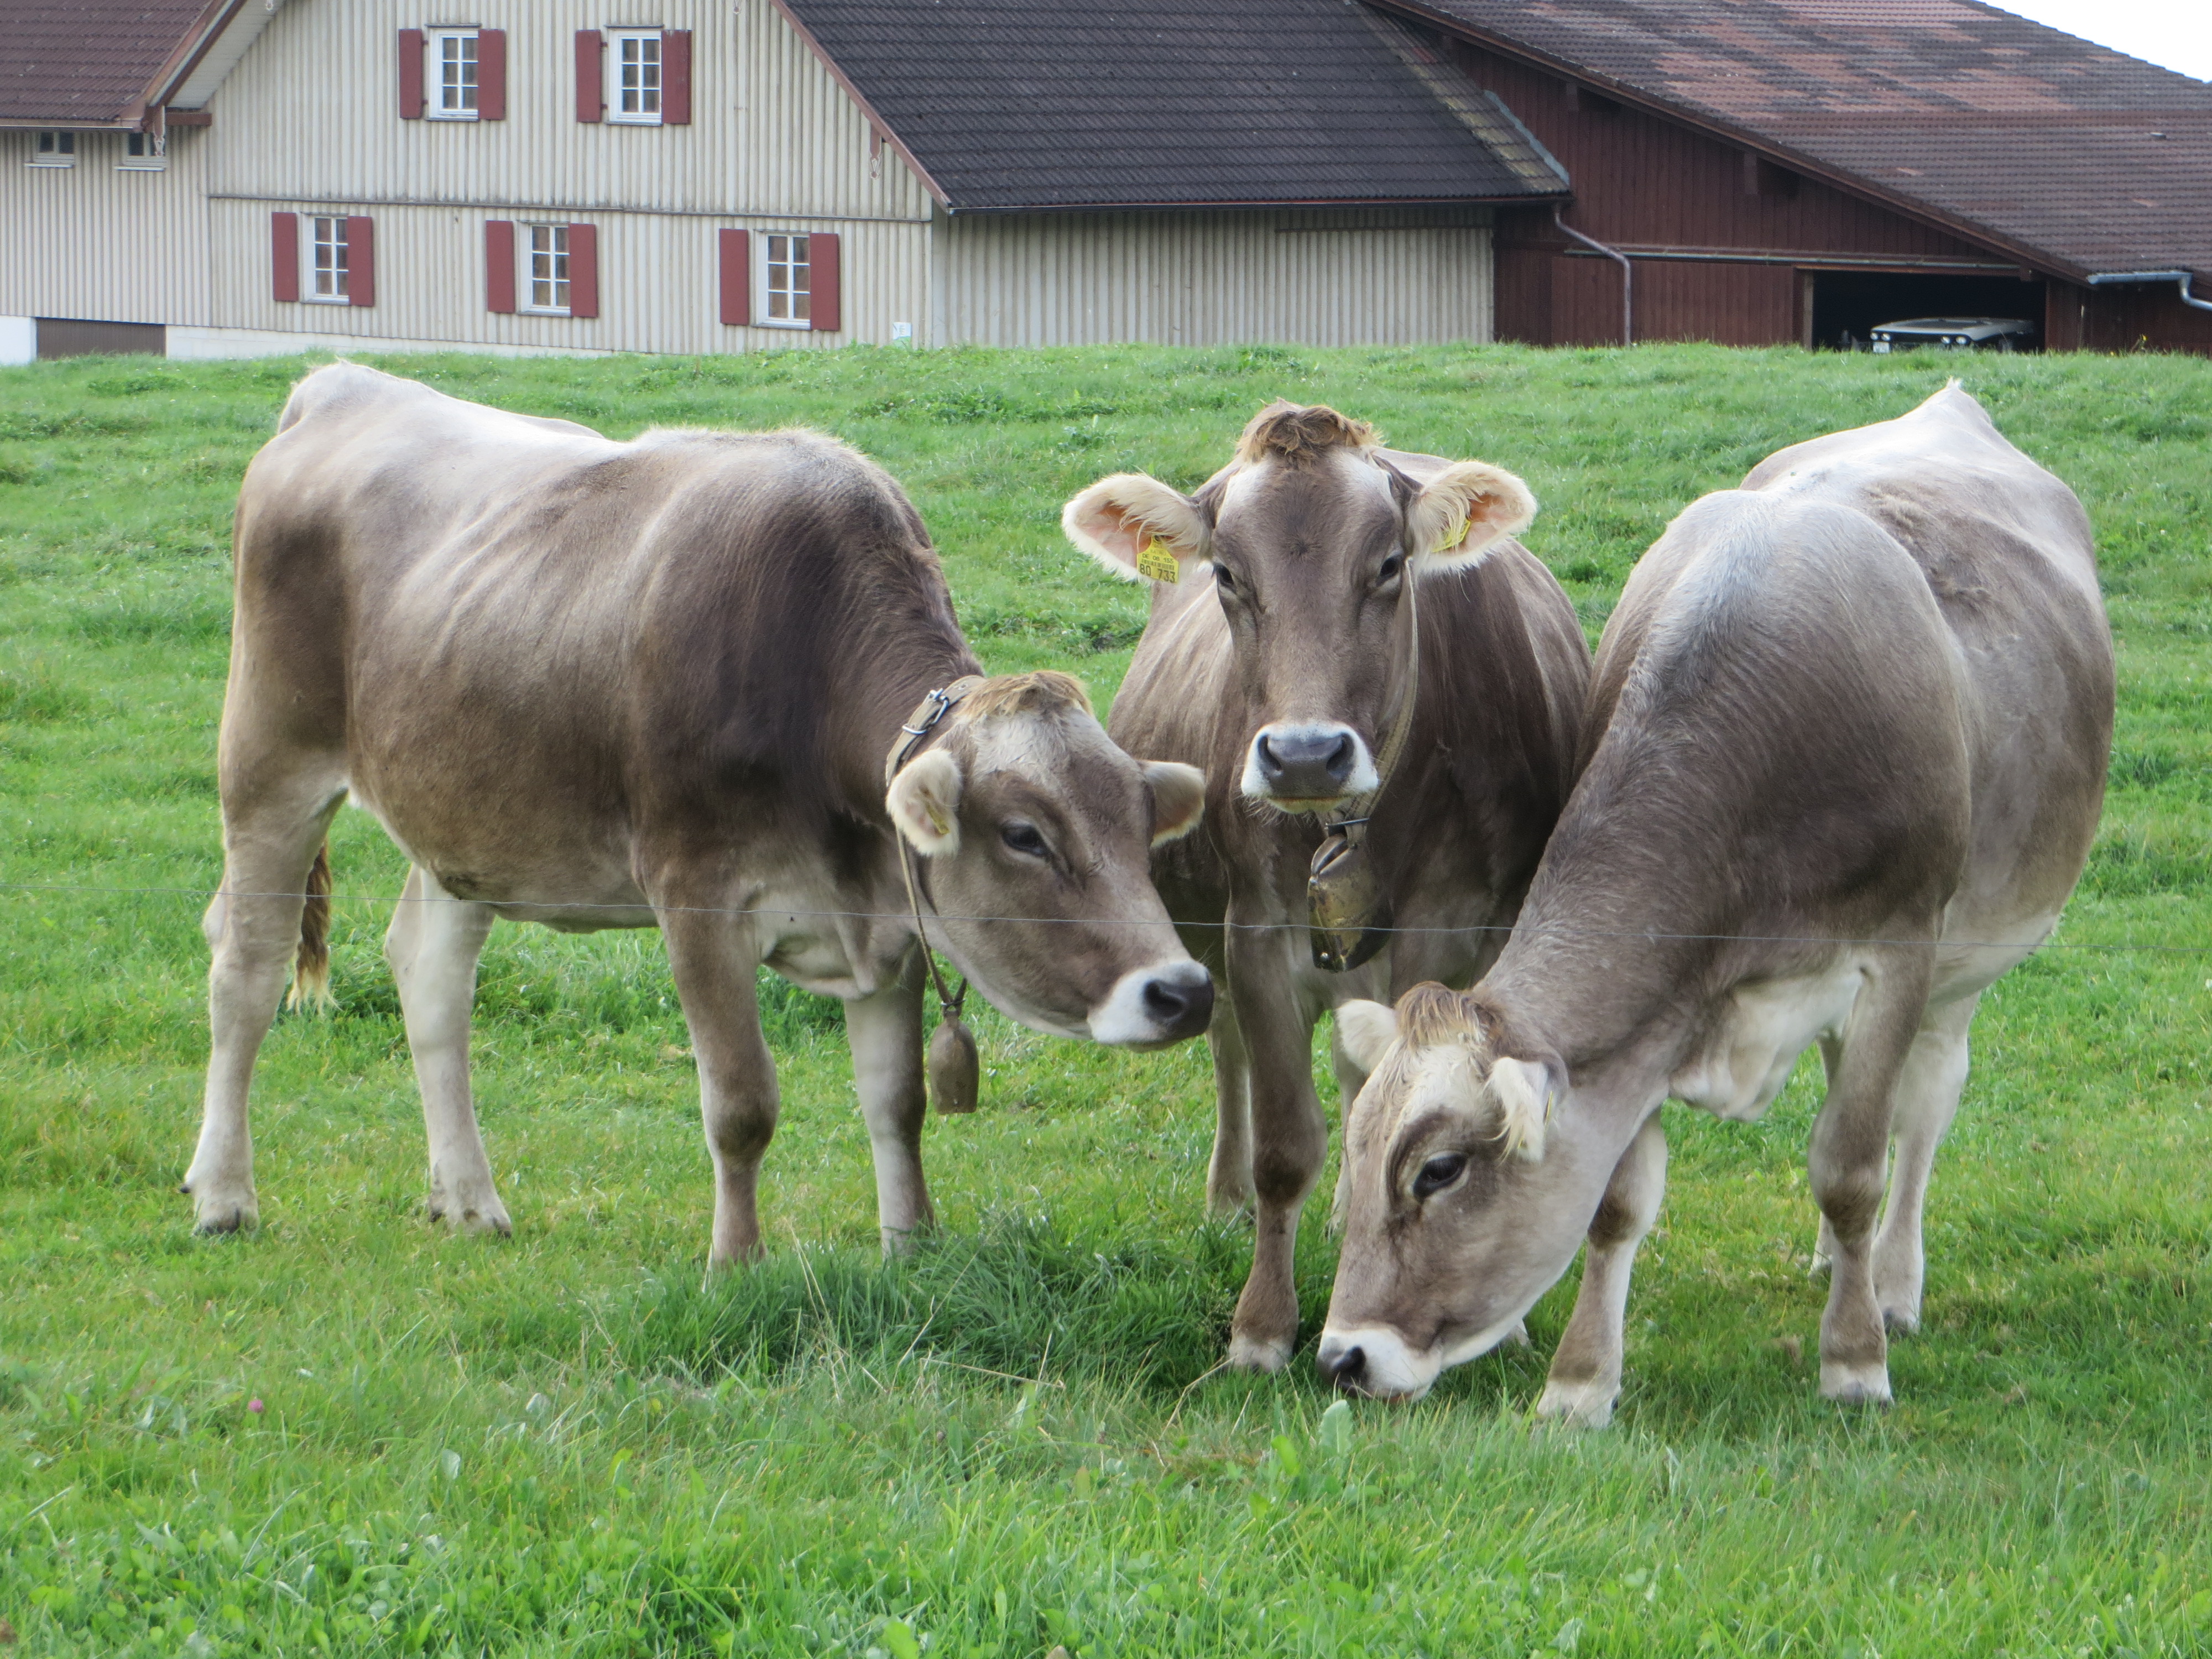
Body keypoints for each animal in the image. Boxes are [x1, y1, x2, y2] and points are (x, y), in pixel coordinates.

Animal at [184, 363, 1214, 1262]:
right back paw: (224, 1194)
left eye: (1139, 823)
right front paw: (737, 1263)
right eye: (1025, 835)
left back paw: (469, 1200)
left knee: (429, 976)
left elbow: (898, 1101)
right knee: (246, 969)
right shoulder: (698, 897)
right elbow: (743, 1105)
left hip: (463, 811)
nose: (1184, 991)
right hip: (271, 757)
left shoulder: (889, 916)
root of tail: (345, 384)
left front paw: (911, 1251)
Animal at [1062, 403, 1590, 1369]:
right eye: (1228, 574)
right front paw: (1262, 1326)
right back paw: (1227, 1198)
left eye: (1387, 566)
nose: (1305, 753)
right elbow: (1285, 1144)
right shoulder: (1259, 939)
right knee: (1228, 1047)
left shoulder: (1452, 939)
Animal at [1316, 384, 2115, 1420]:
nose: (1343, 1357)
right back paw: (1837, 1265)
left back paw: (1892, 1286)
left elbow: (1851, 1168)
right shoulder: (1652, 1018)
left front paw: (1854, 1364)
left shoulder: (1897, 953)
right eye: (1355, 1150)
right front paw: (1580, 1386)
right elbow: (1618, 1204)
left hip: (1963, 966)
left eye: (1438, 1171)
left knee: (1922, 1110)